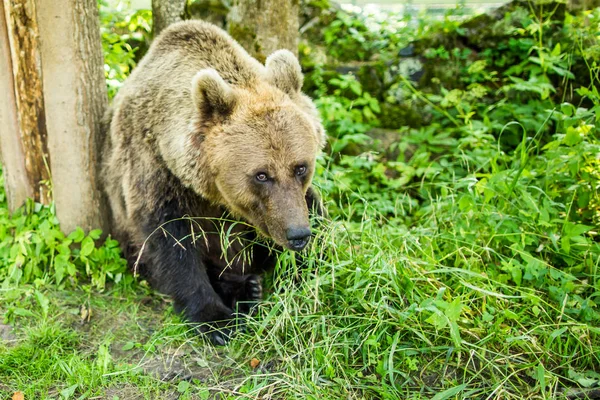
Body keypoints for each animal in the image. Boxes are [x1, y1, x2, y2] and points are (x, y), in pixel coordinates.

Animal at [102, 21, 326, 344]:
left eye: (300, 167)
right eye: (261, 175)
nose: (297, 234)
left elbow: (315, 210)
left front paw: (312, 268)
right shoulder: (154, 170)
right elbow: (170, 243)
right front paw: (216, 321)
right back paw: (245, 289)